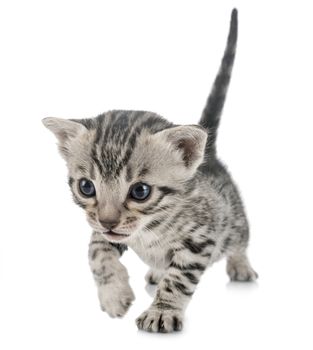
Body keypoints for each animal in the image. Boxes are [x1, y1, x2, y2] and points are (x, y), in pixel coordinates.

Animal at [42, 9, 256, 334]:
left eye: (140, 191)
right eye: (86, 187)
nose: (107, 221)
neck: (150, 229)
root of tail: (210, 157)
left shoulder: (200, 241)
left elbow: (179, 279)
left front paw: (162, 311)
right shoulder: (110, 235)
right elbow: (96, 251)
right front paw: (114, 294)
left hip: (231, 224)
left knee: (239, 239)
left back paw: (240, 266)